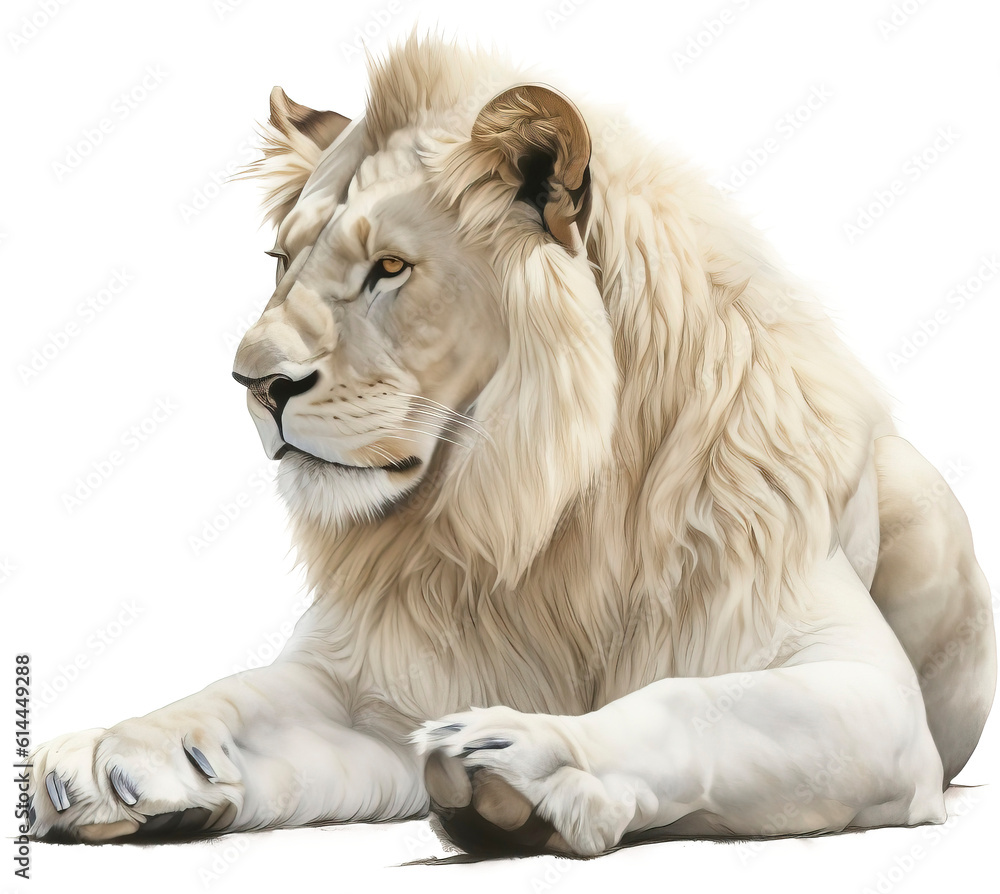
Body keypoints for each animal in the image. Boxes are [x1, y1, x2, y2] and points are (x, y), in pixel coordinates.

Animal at [29, 33, 996, 855]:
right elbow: (239, 697)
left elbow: (688, 703)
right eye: (280, 262)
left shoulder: (868, 694)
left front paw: (528, 758)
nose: (253, 383)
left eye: (390, 268)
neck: (534, 505)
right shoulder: (370, 687)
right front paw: (117, 754)